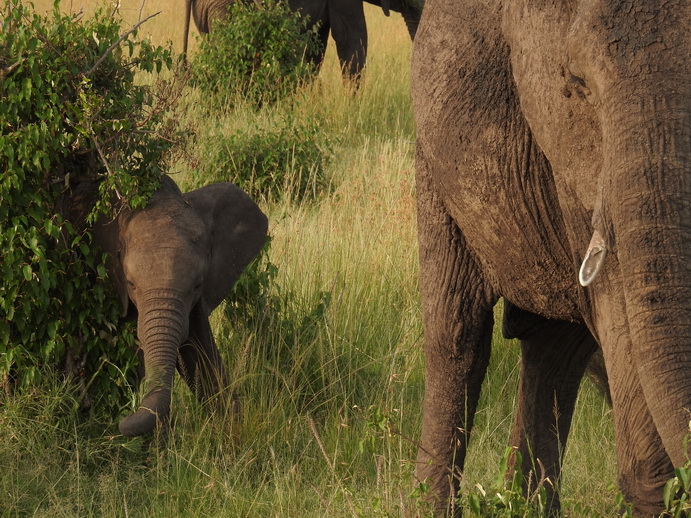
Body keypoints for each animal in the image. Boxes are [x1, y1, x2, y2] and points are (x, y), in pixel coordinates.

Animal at [412, 0, 689, 515]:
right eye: (577, 85)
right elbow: (617, 305)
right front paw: (662, 487)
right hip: (430, 157)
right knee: (457, 338)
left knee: (553, 348)